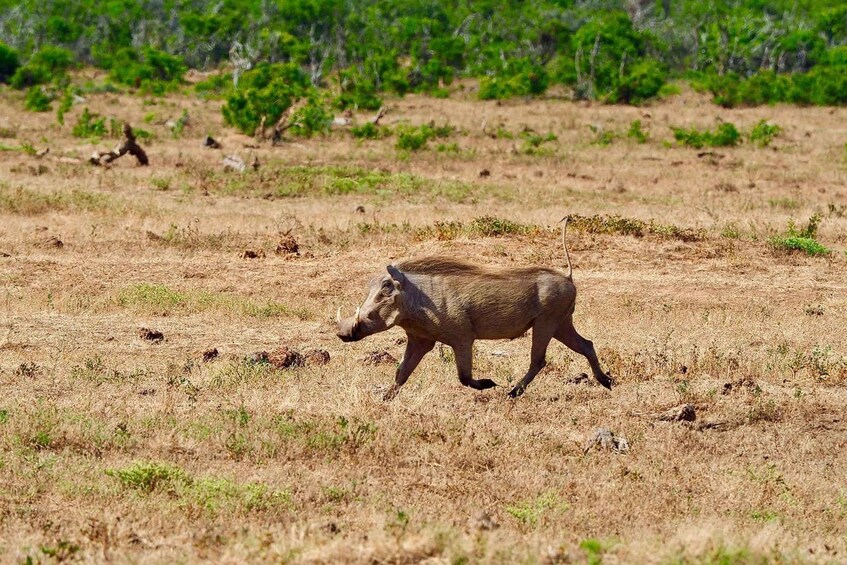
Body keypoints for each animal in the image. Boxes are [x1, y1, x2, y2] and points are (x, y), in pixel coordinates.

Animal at [336, 219, 612, 399]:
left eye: (386, 289)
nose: (342, 332)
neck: (417, 300)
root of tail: (568, 276)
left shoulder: (462, 338)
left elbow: (464, 377)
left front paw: (489, 384)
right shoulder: (420, 340)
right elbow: (401, 373)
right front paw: (385, 400)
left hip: (547, 323)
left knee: (539, 360)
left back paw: (512, 393)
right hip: (562, 324)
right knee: (587, 345)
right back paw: (607, 382)